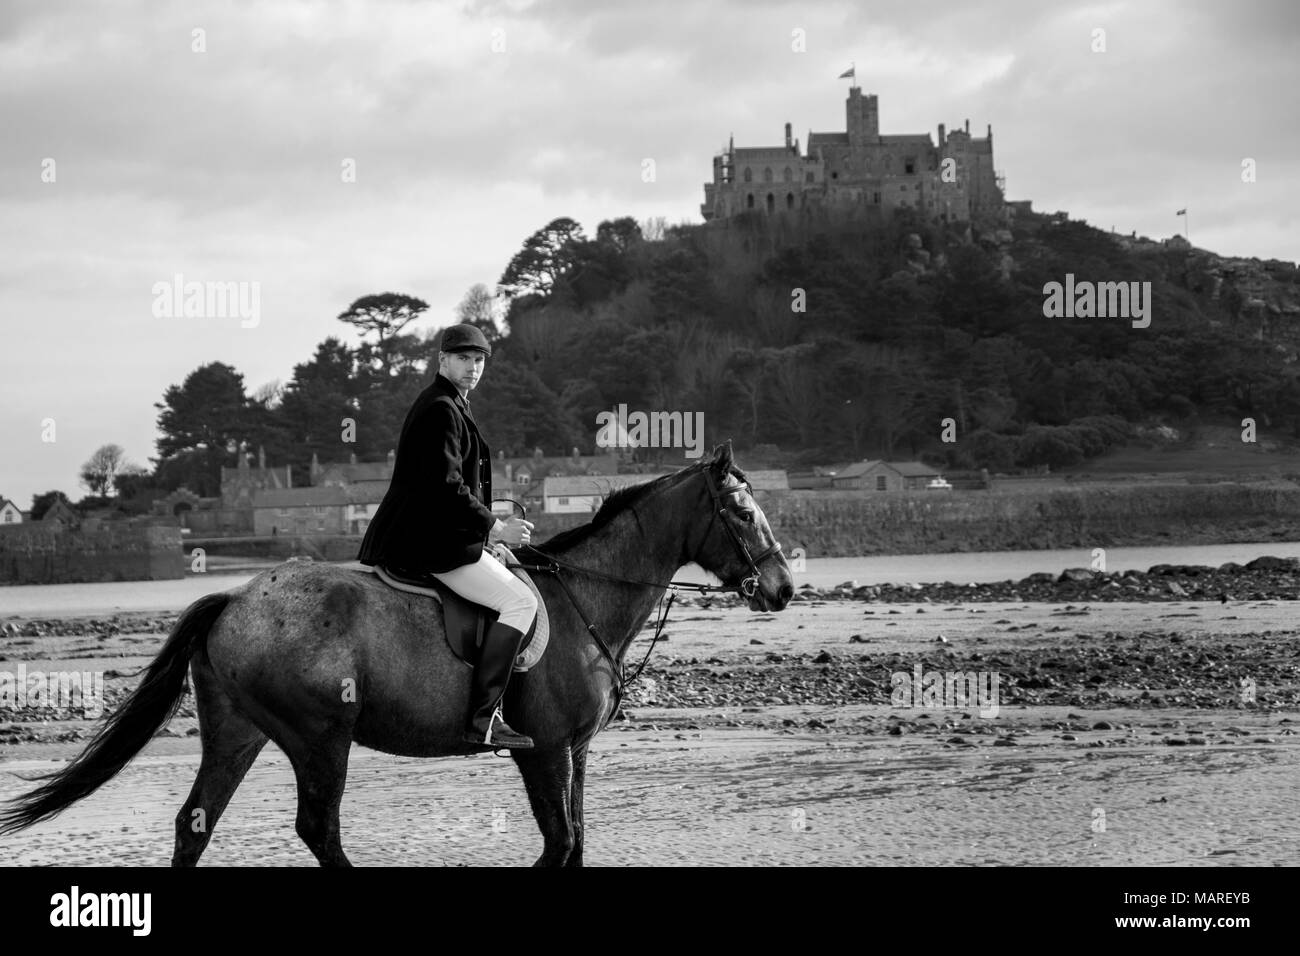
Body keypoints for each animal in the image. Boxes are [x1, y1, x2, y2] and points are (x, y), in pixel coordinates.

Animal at [0, 444, 795, 868]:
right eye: (742, 512)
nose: (784, 588)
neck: (583, 601)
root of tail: (235, 598)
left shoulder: (574, 749)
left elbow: (573, 843)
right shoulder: (540, 748)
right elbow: (558, 842)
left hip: (238, 731)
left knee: (195, 821)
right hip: (321, 736)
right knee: (318, 829)